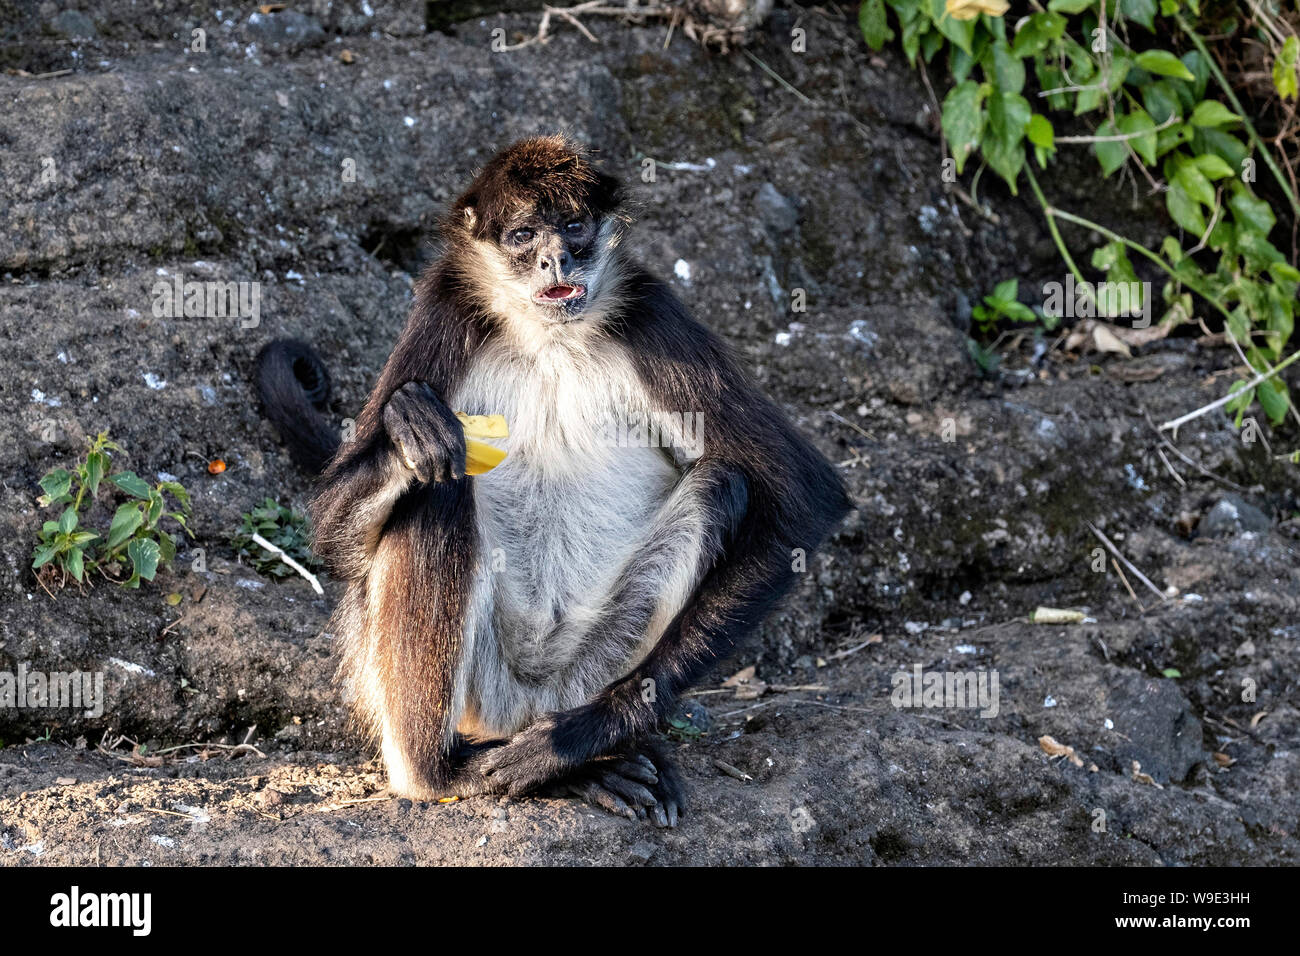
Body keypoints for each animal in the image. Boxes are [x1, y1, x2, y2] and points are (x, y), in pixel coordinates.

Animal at [257, 130, 847, 827]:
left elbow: (805, 496)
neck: (549, 337)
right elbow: (332, 536)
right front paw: (410, 433)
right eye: (522, 235)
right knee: (439, 487)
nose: (555, 259)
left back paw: (578, 753)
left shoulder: (652, 315)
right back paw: (442, 773)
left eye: (573, 227)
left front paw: (572, 745)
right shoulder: (445, 309)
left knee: (725, 483)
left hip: (590, 669)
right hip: (484, 691)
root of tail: (524, 710)